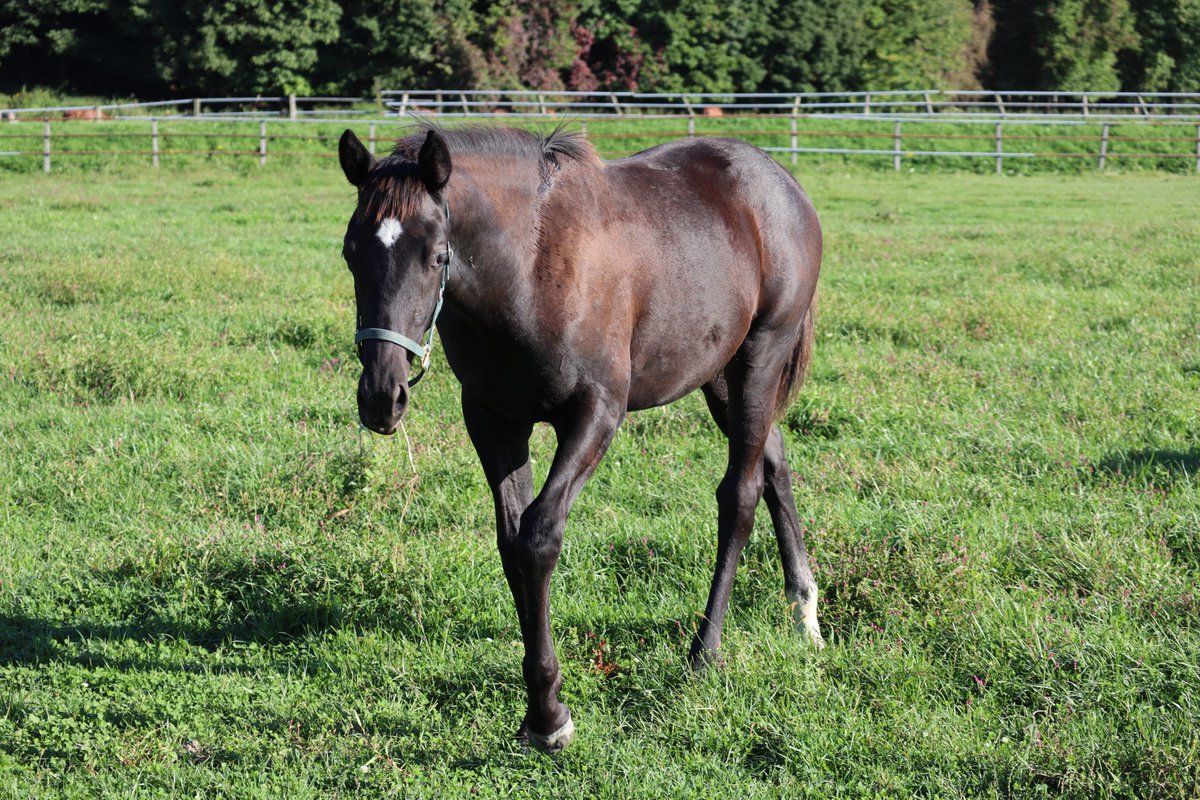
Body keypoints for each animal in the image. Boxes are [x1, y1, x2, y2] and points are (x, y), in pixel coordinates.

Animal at [337, 123, 824, 754]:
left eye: (438, 255)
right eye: (351, 253)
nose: (382, 395)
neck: (528, 269)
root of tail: (782, 183)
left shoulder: (596, 413)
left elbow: (539, 537)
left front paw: (549, 716)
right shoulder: (492, 420)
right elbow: (511, 543)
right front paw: (538, 707)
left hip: (760, 360)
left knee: (739, 496)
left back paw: (705, 652)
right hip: (719, 374)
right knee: (774, 464)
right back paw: (804, 612)